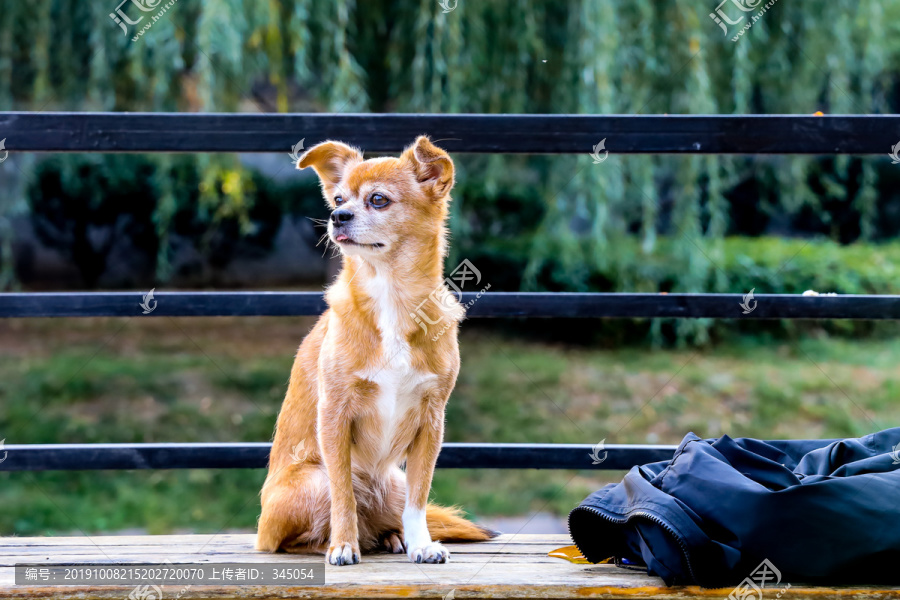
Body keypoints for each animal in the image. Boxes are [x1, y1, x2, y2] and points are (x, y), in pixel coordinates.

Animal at [256, 136, 496, 568]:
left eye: (378, 200)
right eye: (338, 198)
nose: (337, 216)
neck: (390, 295)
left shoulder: (431, 422)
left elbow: (419, 498)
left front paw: (421, 544)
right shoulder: (334, 415)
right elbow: (343, 495)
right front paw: (342, 545)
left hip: (392, 481)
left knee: (391, 513)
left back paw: (393, 538)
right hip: (308, 486)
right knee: (302, 532)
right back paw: (335, 543)